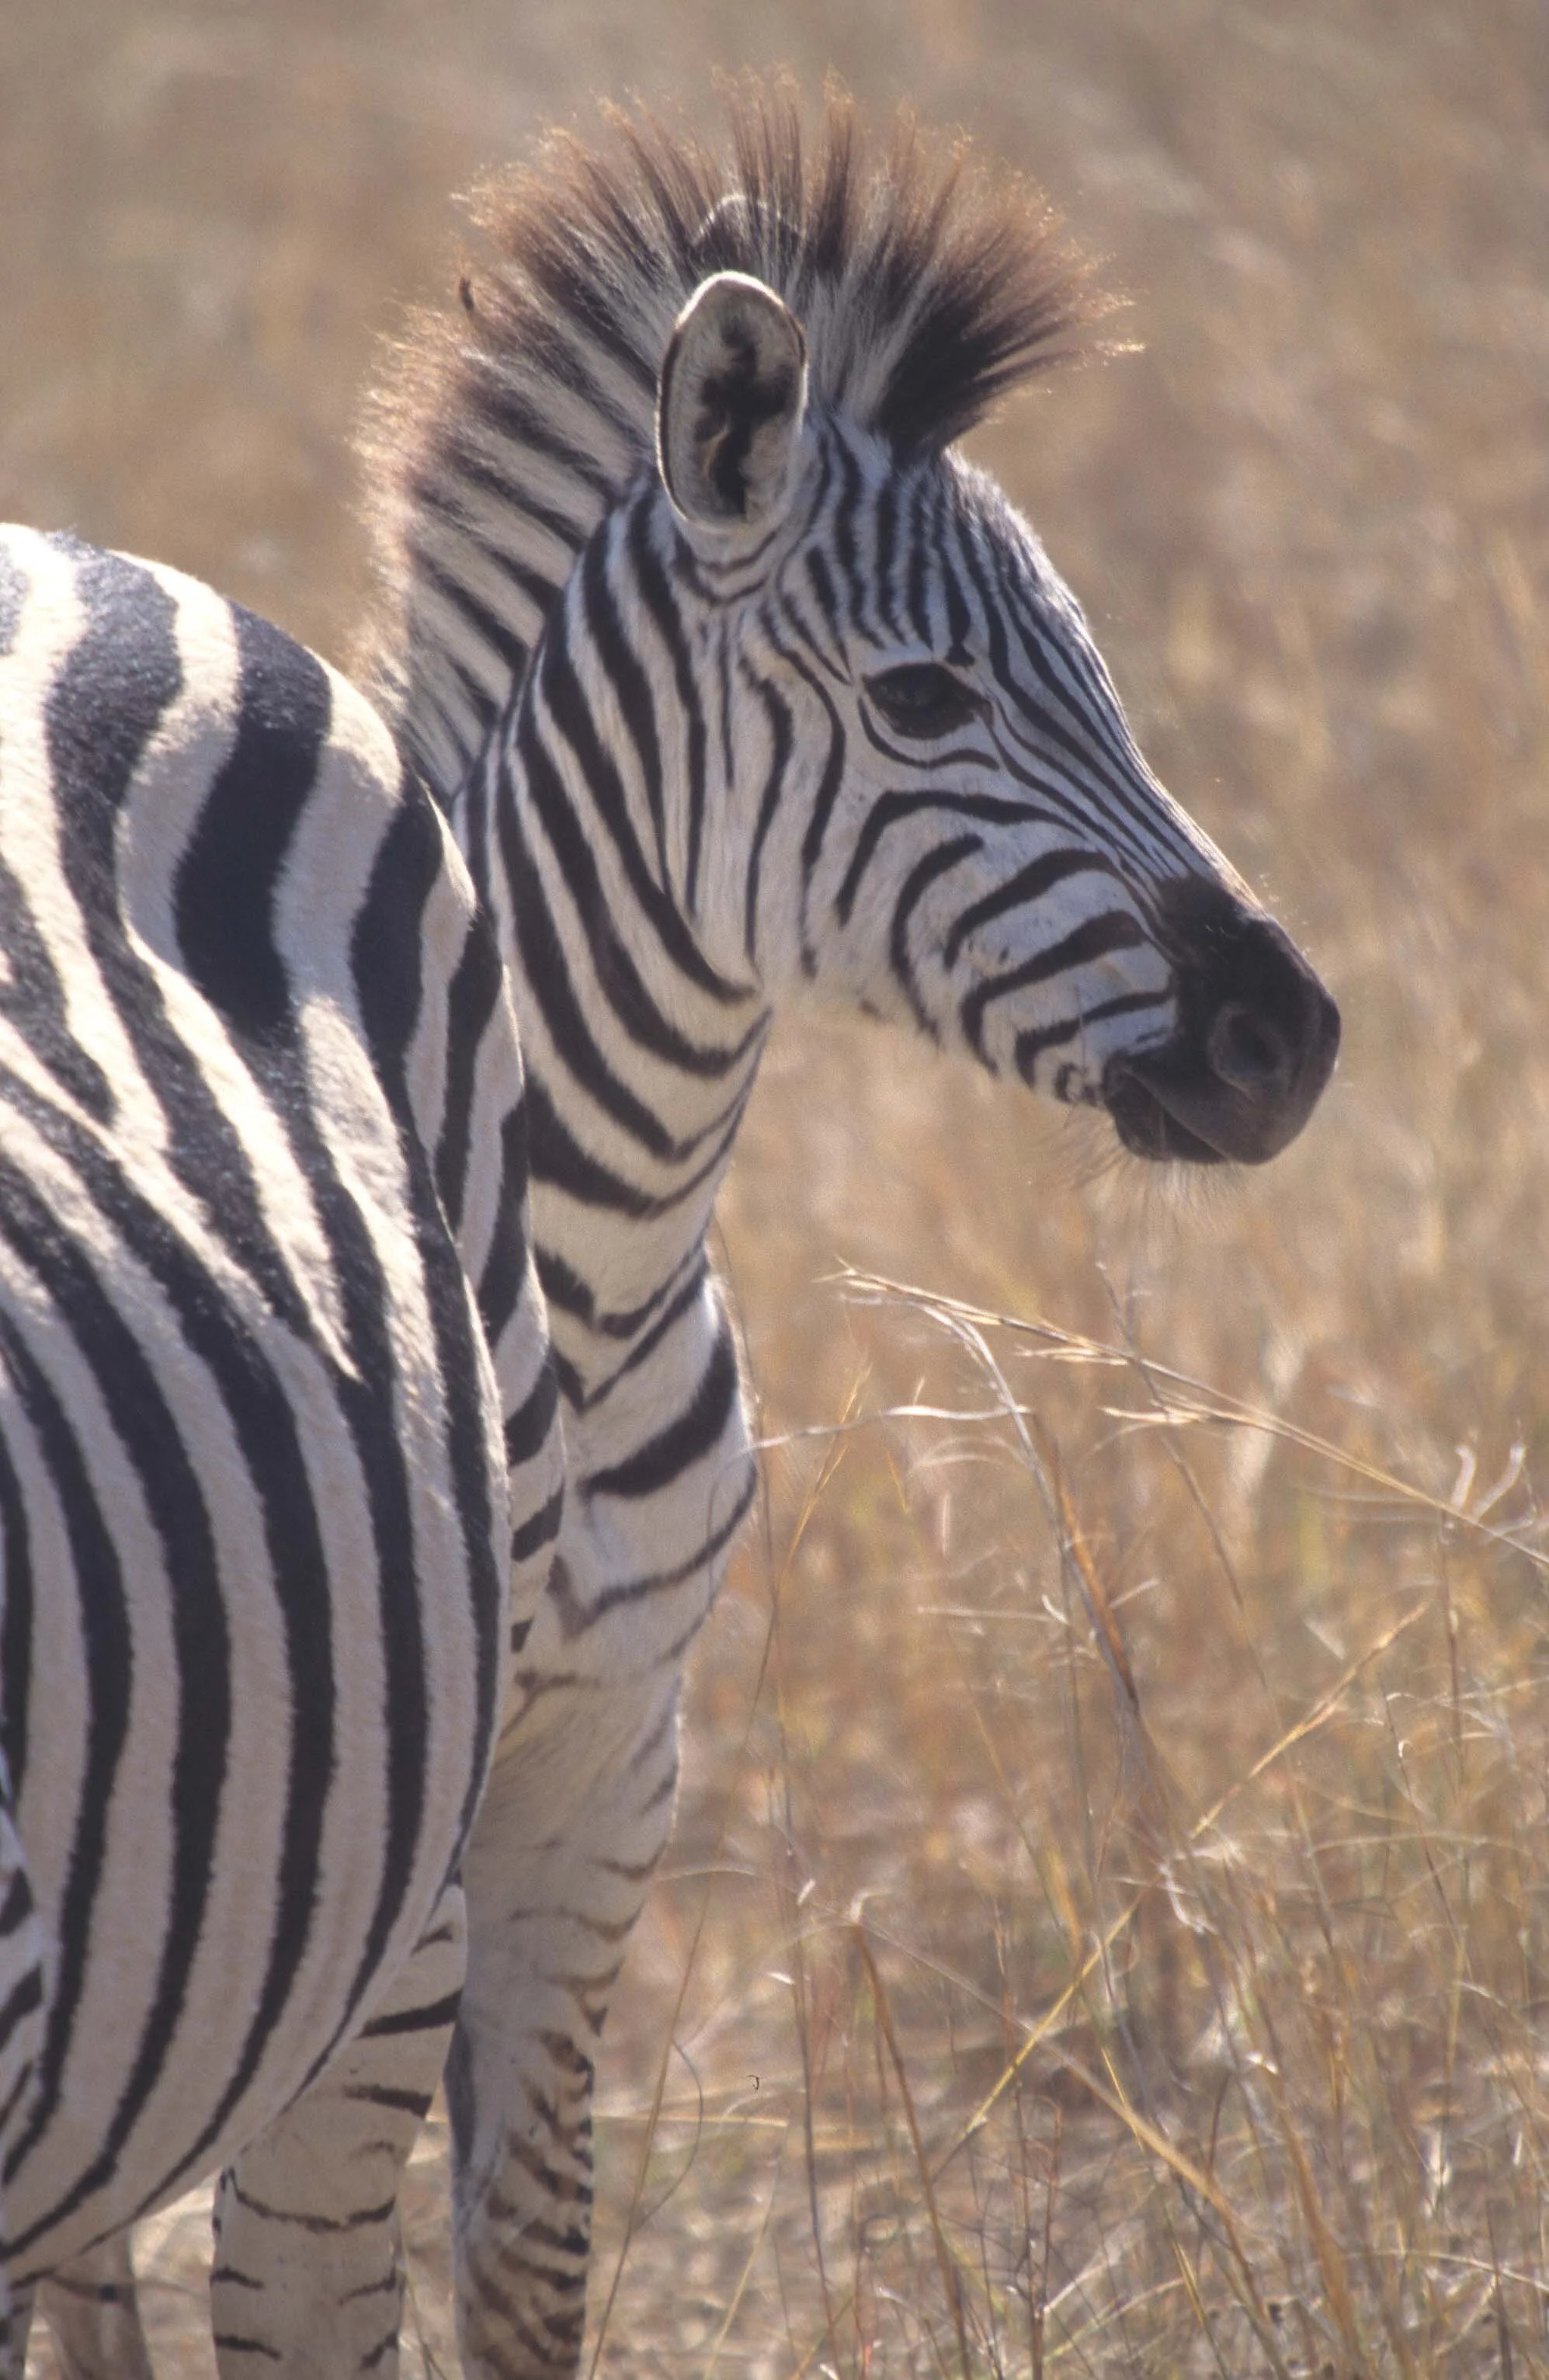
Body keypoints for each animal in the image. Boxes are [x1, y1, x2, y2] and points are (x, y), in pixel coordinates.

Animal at [12, 83, 1339, 2380]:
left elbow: (525, 2260)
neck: (598, 1262)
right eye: (921, 703)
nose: (1297, 1038)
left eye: (1107, 681)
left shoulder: (620, 1747)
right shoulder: (422, 1820)